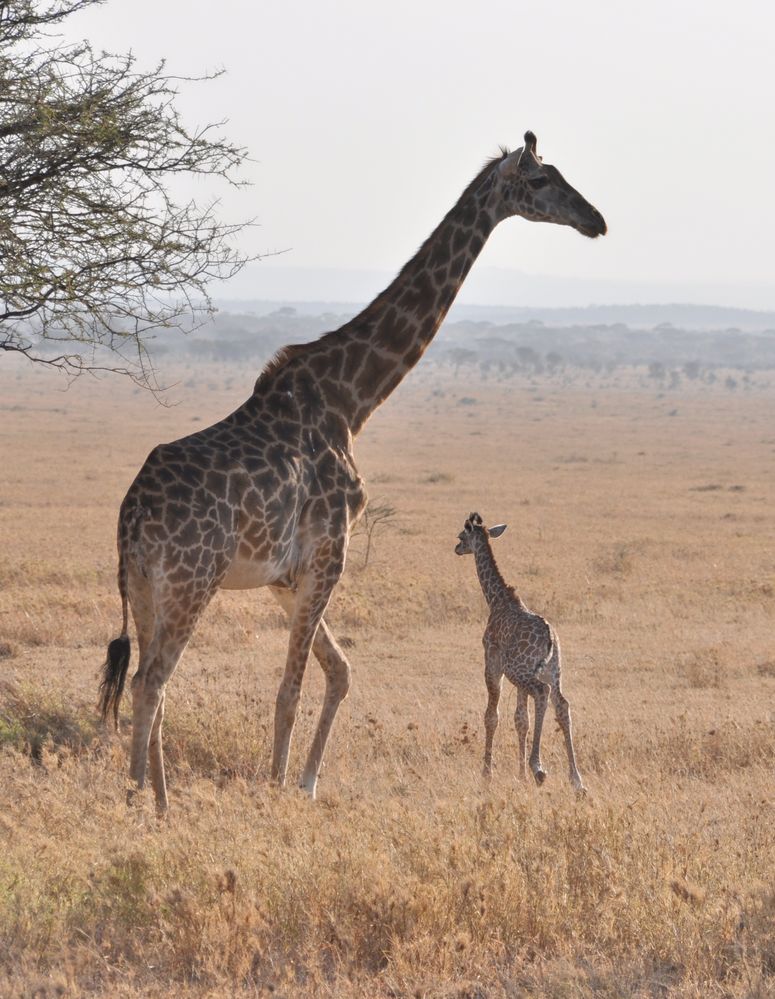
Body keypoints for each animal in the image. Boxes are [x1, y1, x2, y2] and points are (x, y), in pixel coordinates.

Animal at [454, 512, 584, 792]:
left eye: (461, 536)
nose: (456, 548)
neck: (496, 599)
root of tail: (549, 636)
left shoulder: (492, 664)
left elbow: (492, 715)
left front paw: (487, 773)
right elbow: (521, 719)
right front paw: (520, 774)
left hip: (521, 670)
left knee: (542, 693)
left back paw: (539, 767)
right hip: (553, 671)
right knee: (562, 704)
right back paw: (577, 780)